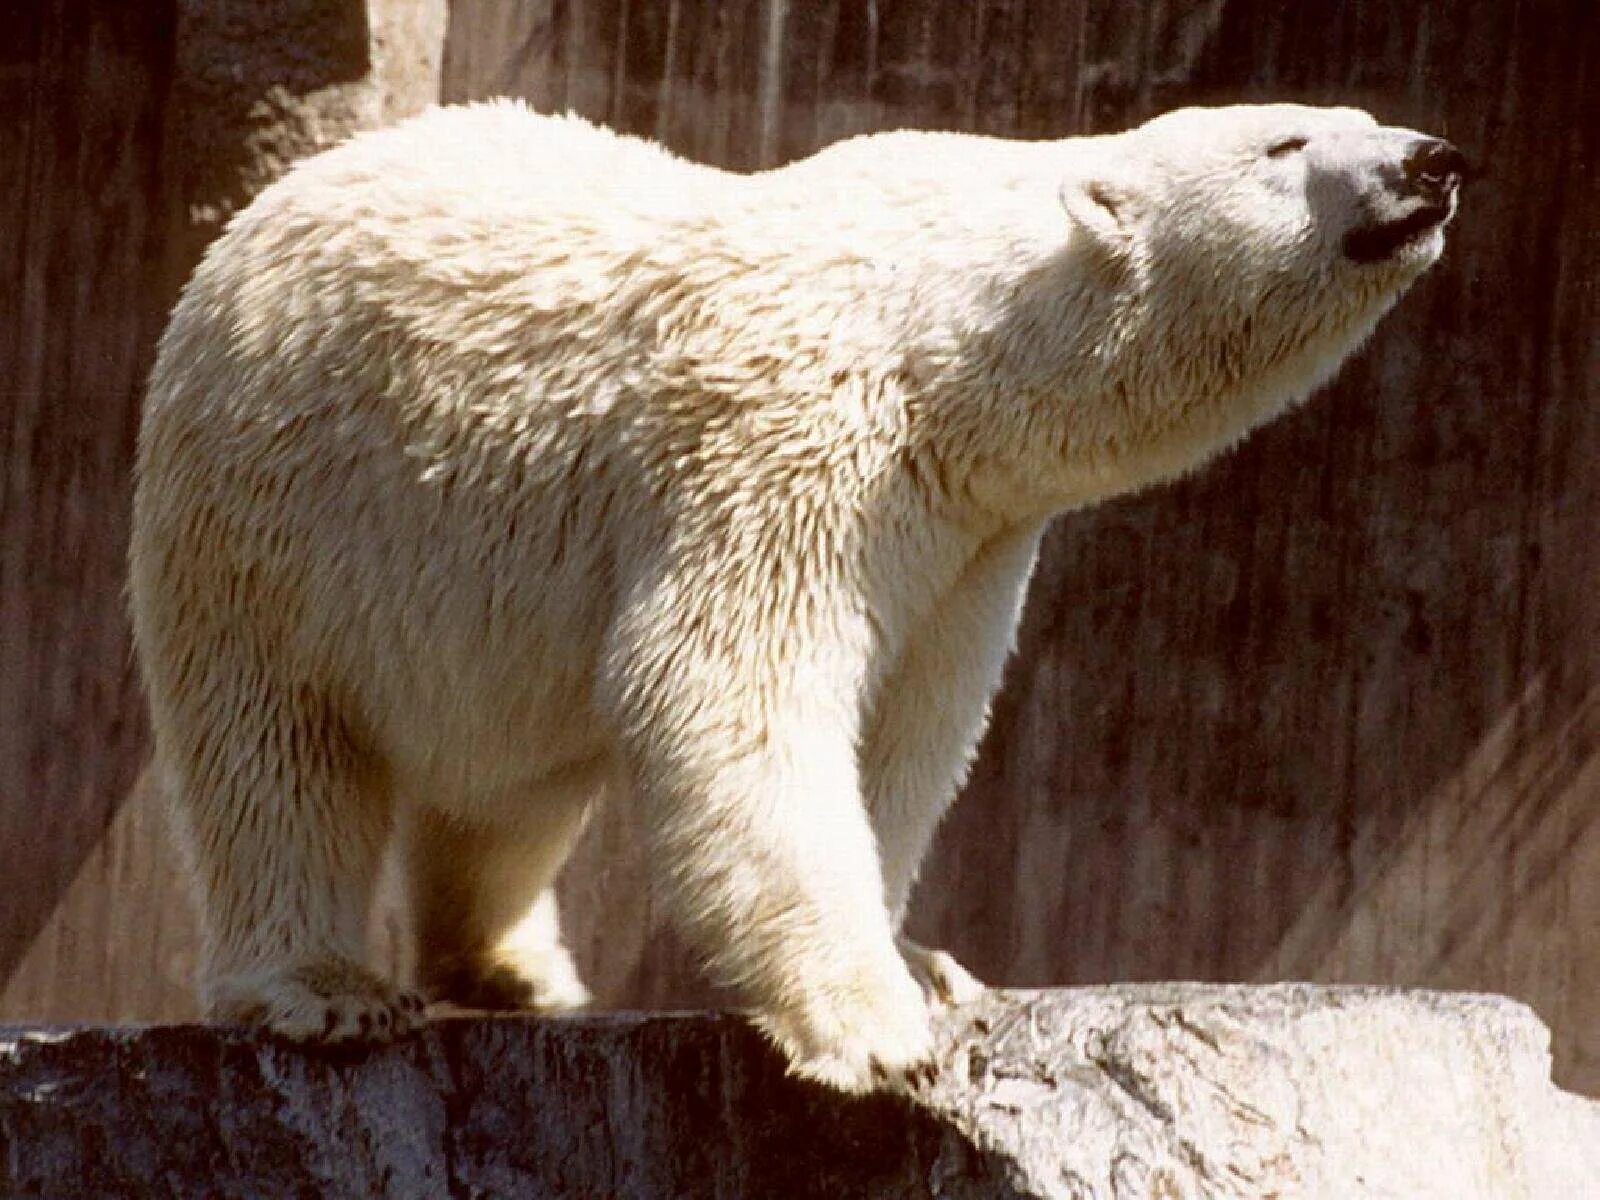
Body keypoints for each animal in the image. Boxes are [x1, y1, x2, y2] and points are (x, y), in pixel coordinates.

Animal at [134, 103, 1465, 1094]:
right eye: (1286, 143)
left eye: (1360, 115)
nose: (1432, 159)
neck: (952, 329)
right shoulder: (790, 438)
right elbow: (731, 691)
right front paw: (876, 1028)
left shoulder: (968, 537)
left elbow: (908, 730)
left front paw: (921, 962)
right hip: (269, 517)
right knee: (276, 757)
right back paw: (327, 990)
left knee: (511, 787)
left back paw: (515, 968)